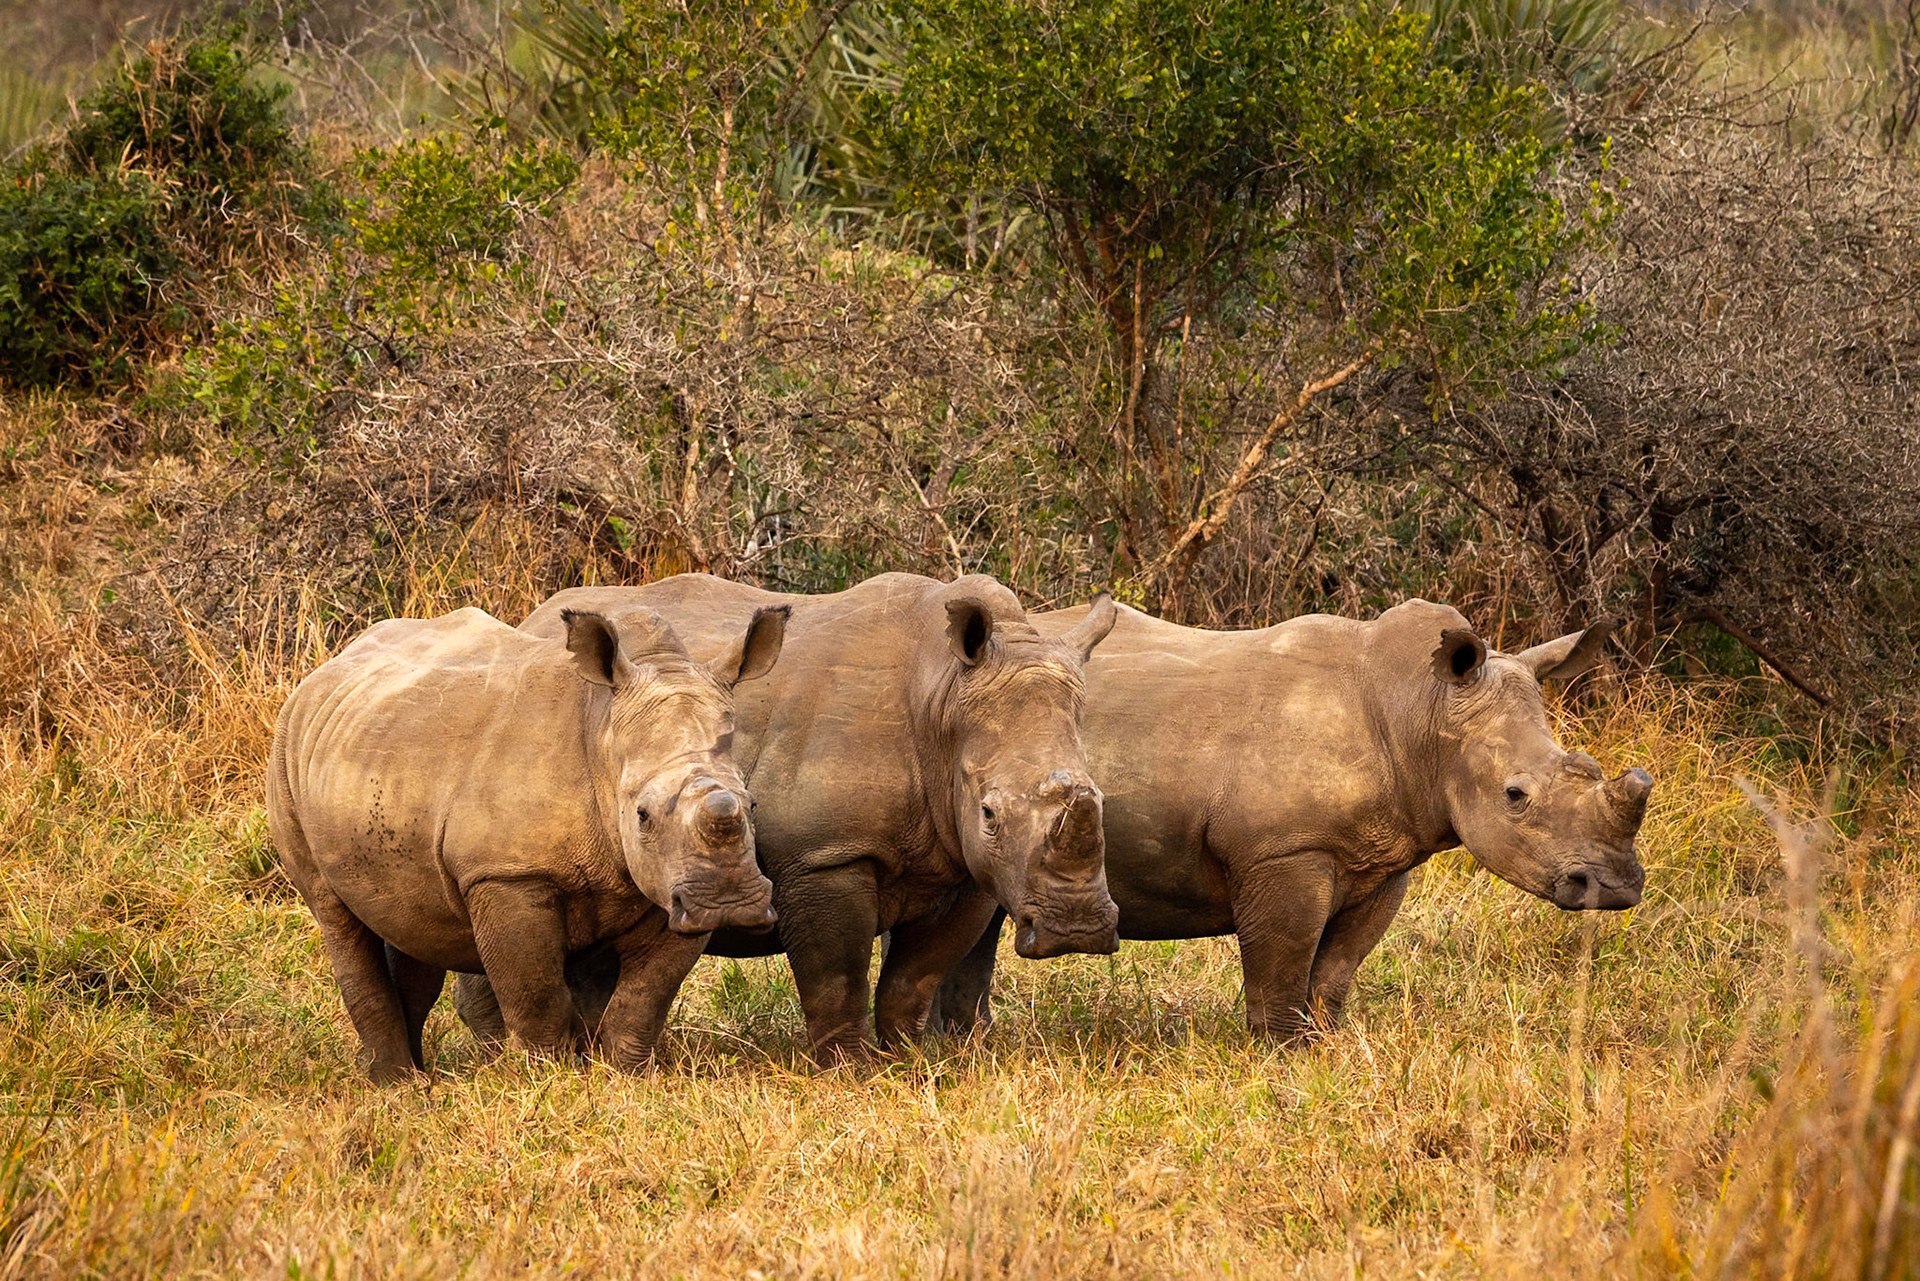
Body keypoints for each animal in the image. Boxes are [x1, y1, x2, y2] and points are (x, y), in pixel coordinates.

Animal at [266, 602, 788, 1082]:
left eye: (752, 804)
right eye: (642, 815)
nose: (729, 903)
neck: (603, 732)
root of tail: (318, 677)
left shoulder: (671, 886)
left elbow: (642, 999)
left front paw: (625, 1078)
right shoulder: (507, 874)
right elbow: (537, 997)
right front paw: (549, 1083)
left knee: (410, 923)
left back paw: (414, 1081)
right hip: (285, 755)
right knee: (335, 915)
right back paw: (395, 1086)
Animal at [454, 572, 1121, 1059]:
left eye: (1101, 797)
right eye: (989, 813)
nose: (1078, 931)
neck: (942, 697)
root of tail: (530, 619)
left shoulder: (966, 869)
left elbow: (913, 979)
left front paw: (909, 1061)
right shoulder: (825, 855)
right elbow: (838, 976)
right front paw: (852, 1071)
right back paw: (503, 1060)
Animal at [929, 599, 1653, 1040]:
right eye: (1515, 796)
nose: (1613, 887)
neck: (1420, 709)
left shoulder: (1385, 857)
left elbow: (1336, 969)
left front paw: (1326, 1045)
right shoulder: (1283, 850)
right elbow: (1282, 964)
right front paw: (1279, 1054)